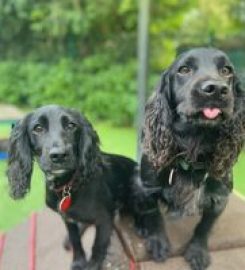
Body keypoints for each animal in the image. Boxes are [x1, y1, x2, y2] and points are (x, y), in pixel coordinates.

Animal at [7, 105, 138, 270]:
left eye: (71, 125)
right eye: (38, 128)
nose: (59, 156)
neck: (67, 186)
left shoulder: (104, 219)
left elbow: (98, 245)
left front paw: (92, 265)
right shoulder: (67, 218)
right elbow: (75, 239)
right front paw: (78, 261)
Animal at [134, 47, 245, 268]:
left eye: (226, 70)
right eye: (184, 69)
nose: (216, 89)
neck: (194, 146)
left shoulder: (219, 198)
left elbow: (204, 227)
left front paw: (197, 251)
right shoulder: (148, 187)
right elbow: (154, 216)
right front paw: (158, 242)